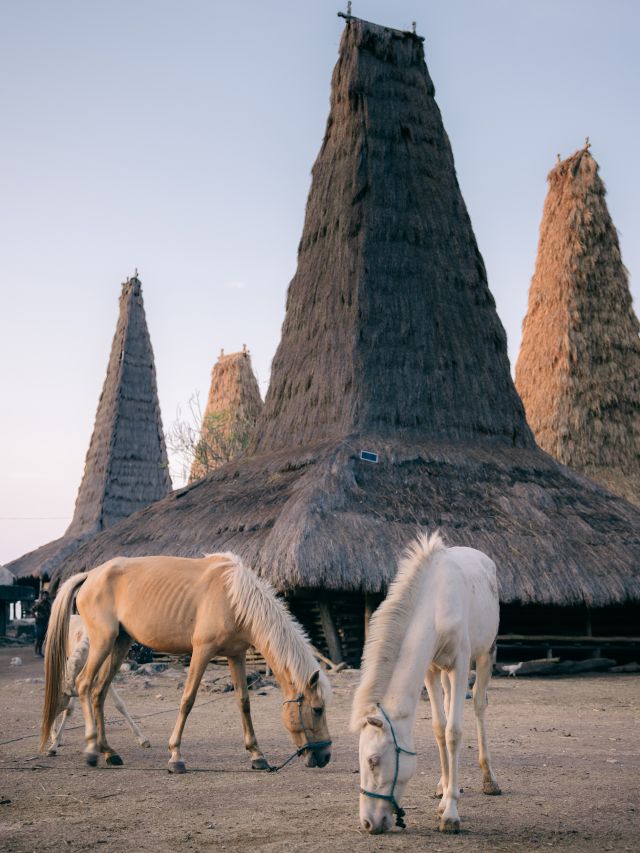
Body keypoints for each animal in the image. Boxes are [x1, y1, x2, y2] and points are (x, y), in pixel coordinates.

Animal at [46, 614, 150, 756]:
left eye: (59, 698)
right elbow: (70, 709)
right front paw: (53, 746)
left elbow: (119, 704)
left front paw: (143, 740)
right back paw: (54, 736)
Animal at [351, 531, 501, 835]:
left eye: (373, 761)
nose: (368, 823)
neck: (436, 606)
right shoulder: (430, 669)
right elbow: (439, 728)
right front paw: (444, 796)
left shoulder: (459, 664)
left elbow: (454, 732)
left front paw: (450, 814)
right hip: (443, 672)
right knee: (448, 702)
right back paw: (444, 784)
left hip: (485, 655)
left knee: (479, 705)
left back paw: (489, 779)